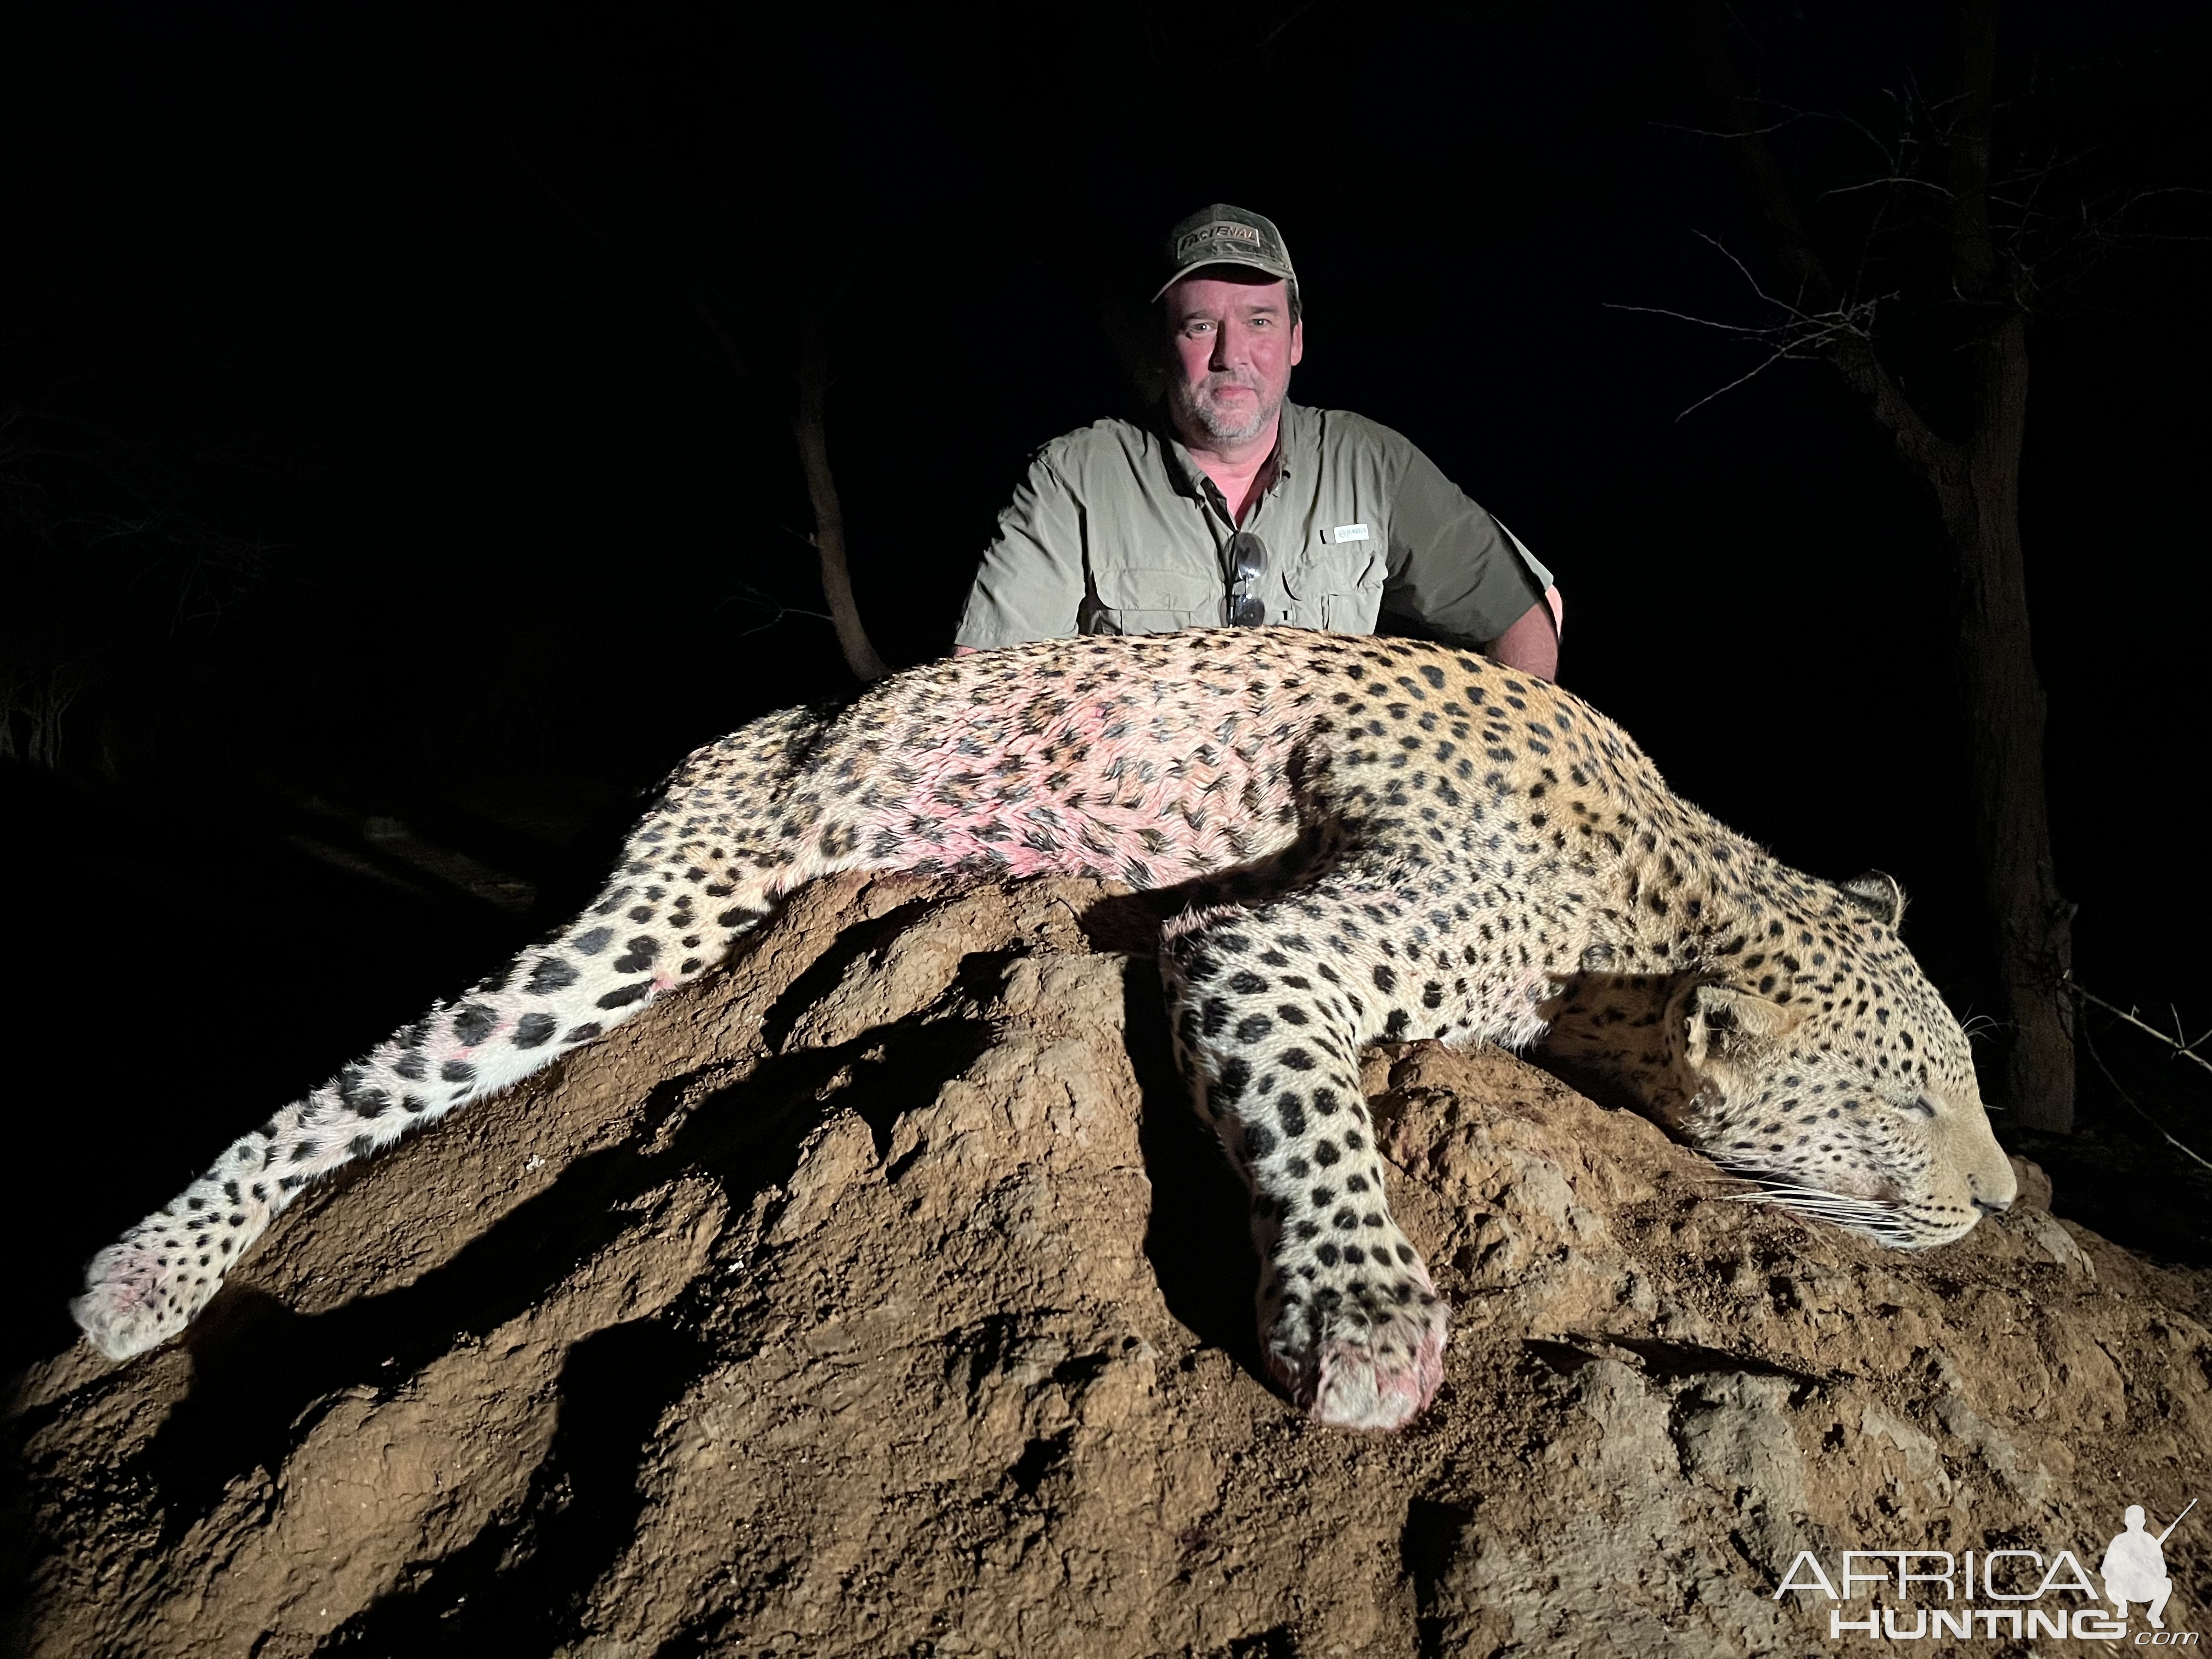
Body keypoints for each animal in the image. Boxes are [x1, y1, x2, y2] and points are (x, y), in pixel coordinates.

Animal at [69, 628, 2017, 1433]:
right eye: (1915, 1105)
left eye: (1970, 1090)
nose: (2003, 1200)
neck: (1656, 884)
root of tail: (726, 736)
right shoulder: (1266, 939)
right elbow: (1322, 1133)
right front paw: (1366, 1328)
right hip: (659, 916)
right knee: (385, 1073)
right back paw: (145, 1274)